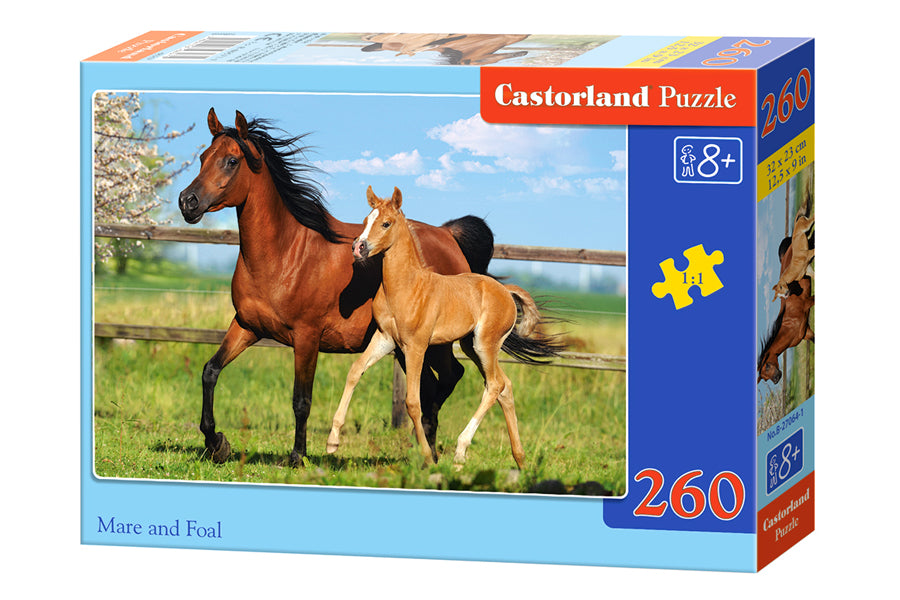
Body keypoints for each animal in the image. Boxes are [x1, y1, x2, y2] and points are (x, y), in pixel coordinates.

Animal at [178, 108, 498, 466]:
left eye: (232, 161)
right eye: (203, 157)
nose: (187, 202)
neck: (284, 255)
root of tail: (448, 235)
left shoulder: (306, 337)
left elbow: (301, 399)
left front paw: (297, 456)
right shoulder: (247, 326)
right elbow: (210, 371)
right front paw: (216, 443)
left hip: (434, 342)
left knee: (449, 378)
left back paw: (431, 448)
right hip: (405, 346)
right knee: (430, 386)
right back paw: (425, 449)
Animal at [326, 186, 562, 468]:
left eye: (386, 223)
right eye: (365, 221)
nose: (358, 248)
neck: (405, 286)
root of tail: (506, 291)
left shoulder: (415, 346)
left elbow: (413, 401)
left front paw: (428, 457)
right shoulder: (385, 339)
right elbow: (355, 371)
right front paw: (333, 441)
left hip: (485, 344)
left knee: (494, 385)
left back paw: (461, 453)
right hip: (471, 346)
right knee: (504, 386)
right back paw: (520, 460)